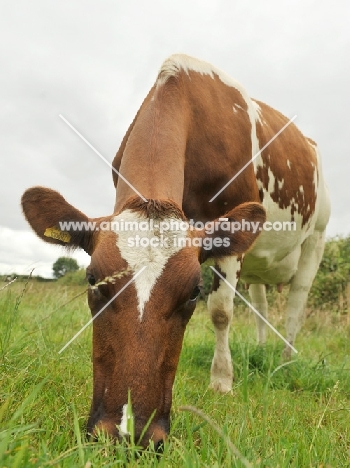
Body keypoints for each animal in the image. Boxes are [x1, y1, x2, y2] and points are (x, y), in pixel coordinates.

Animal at [22, 53, 330, 448]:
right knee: (262, 307)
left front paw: (222, 381)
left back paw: (285, 361)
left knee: (295, 305)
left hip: (315, 240)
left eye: (194, 291)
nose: (127, 434)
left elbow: (221, 312)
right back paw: (263, 351)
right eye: (92, 280)